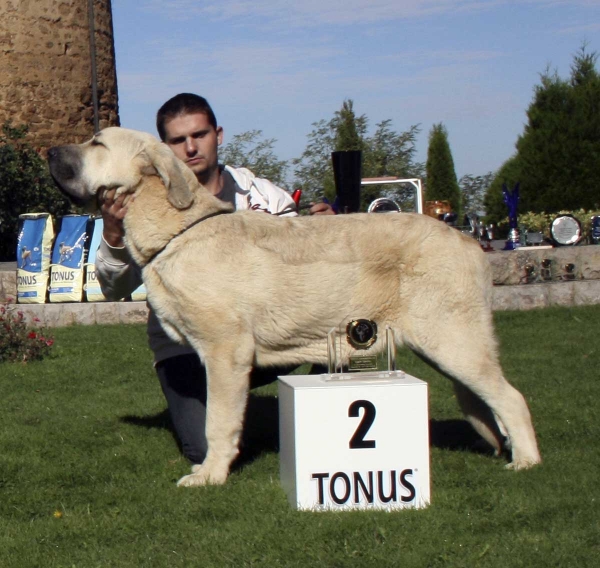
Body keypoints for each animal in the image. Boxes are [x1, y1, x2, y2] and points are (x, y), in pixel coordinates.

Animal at [49, 127, 540, 484]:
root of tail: (471, 242)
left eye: (97, 143)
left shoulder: (226, 353)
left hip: (453, 341)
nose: (50, 150)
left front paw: (210, 475)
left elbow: (217, 423)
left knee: (511, 398)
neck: (178, 229)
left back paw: (526, 461)